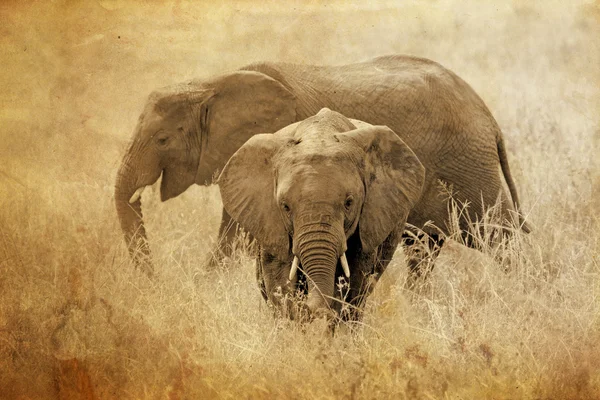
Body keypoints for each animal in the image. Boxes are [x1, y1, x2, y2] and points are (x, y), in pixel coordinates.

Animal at [115, 54, 528, 276]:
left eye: (162, 140)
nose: (156, 281)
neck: (211, 84)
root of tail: (485, 112)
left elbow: (238, 240)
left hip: (467, 163)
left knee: (498, 234)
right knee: (423, 248)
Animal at [218, 108, 424, 320]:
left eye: (349, 203)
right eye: (285, 206)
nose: (309, 306)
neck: (319, 135)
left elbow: (356, 280)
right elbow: (279, 277)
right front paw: (293, 315)